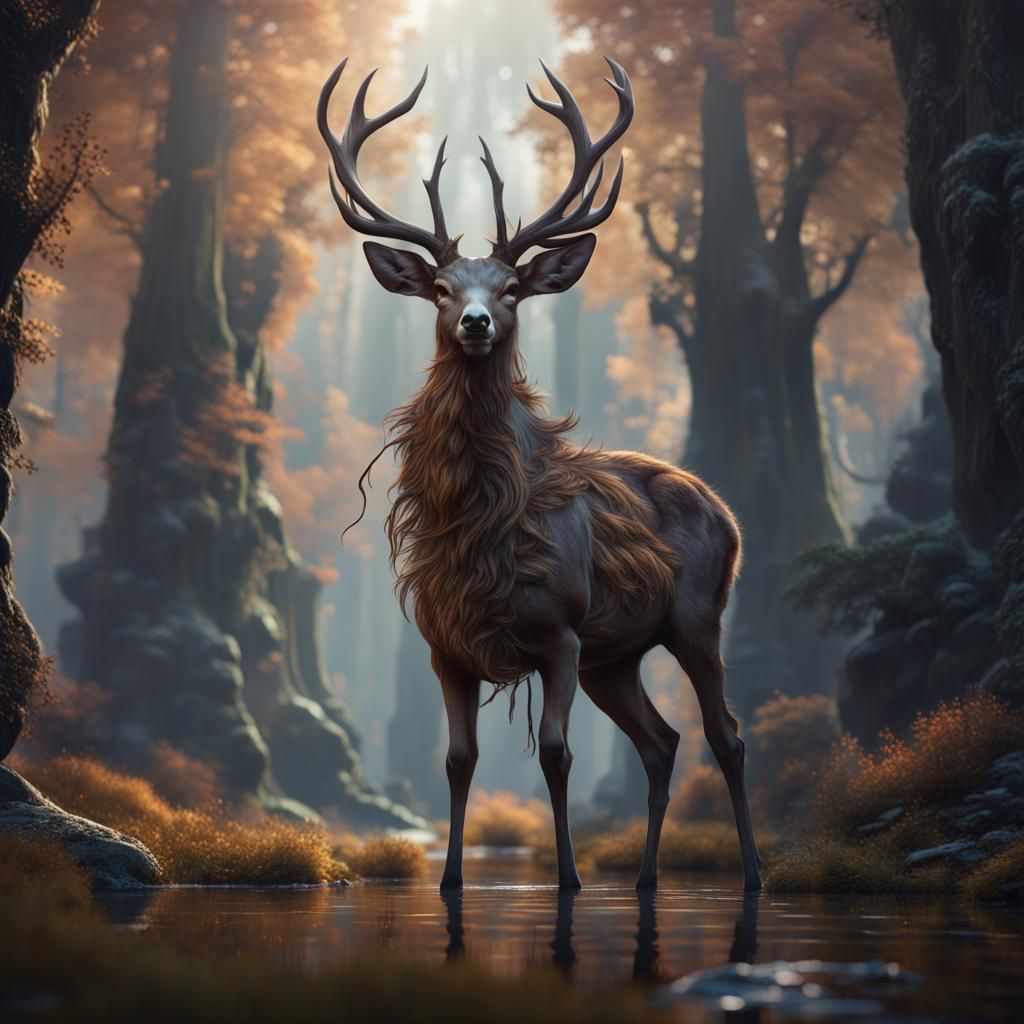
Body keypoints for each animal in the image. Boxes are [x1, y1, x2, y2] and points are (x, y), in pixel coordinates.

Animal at [317, 57, 763, 893]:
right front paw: (451, 881)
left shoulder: (559, 631)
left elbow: (556, 753)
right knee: (662, 741)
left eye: (512, 288)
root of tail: (727, 510)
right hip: (616, 656)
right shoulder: (446, 645)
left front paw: (569, 880)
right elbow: (459, 760)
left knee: (725, 733)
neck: (484, 531)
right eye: (442, 288)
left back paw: (751, 874)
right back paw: (646, 879)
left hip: (695, 615)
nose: (476, 322)